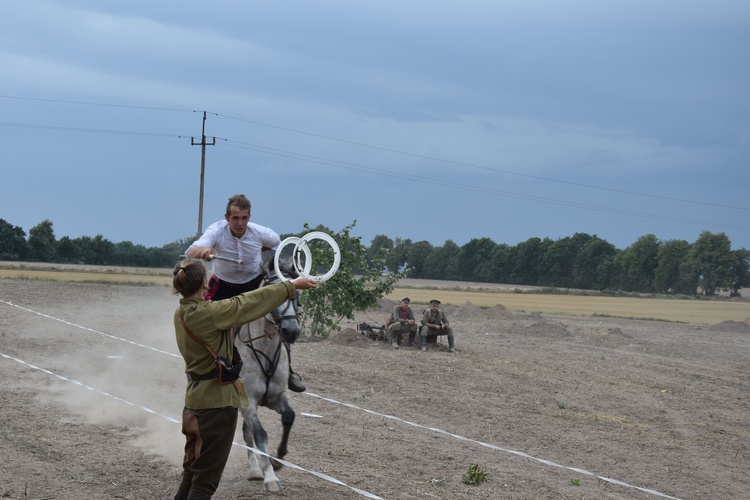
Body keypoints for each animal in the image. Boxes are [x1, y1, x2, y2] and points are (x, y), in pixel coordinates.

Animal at [232, 258, 302, 492]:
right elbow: (260, 434)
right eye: (274, 291)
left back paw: (255, 470)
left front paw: (277, 460)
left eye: (298, 294)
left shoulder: (276, 397)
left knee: (246, 431)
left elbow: (289, 417)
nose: (291, 331)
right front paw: (270, 478)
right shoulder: (249, 402)